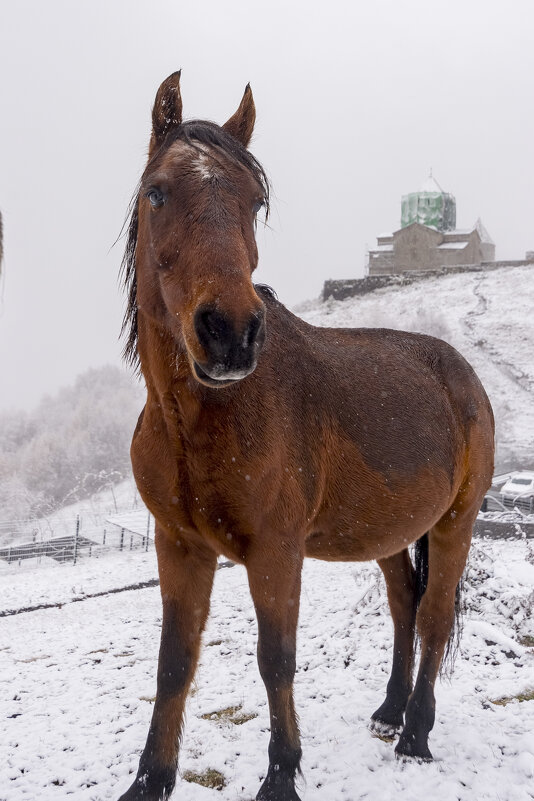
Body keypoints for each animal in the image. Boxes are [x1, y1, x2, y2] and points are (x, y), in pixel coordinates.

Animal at [119, 70, 496, 800]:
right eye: (158, 191)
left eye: (256, 200)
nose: (230, 332)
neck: (203, 416)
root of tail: (459, 371)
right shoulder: (179, 547)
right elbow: (174, 663)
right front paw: (149, 780)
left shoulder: (276, 551)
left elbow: (276, 660)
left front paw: (282, 774)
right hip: (392, 533)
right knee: (405, 605)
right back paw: (390, 710)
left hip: (456, 522)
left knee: (434, 617)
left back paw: (415, 733)